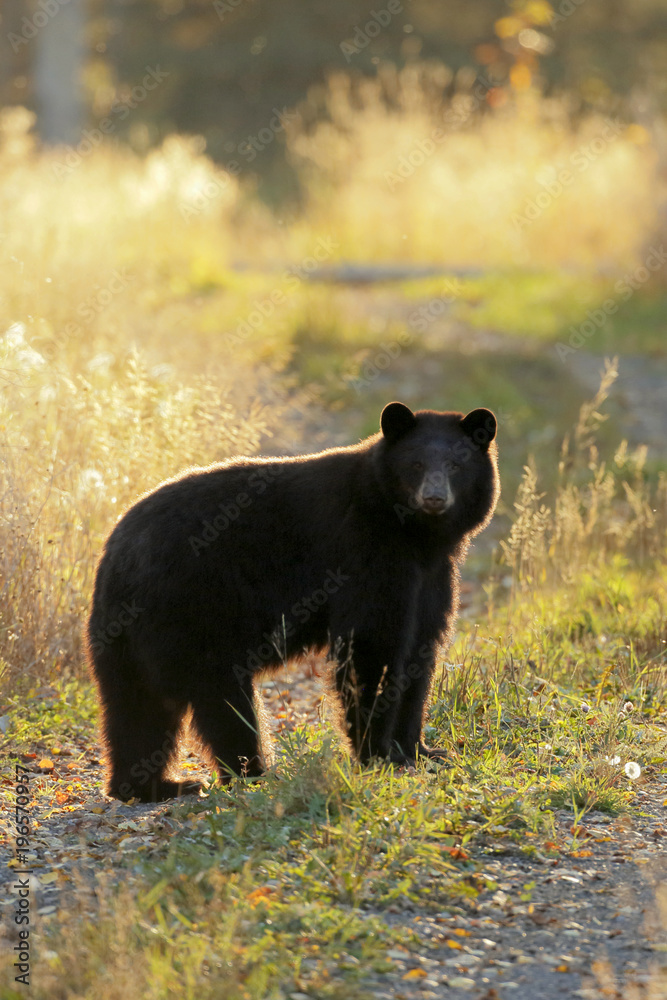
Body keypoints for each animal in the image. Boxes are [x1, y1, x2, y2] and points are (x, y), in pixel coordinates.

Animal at [86, 401, 499, 801]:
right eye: (415, 465)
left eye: (456, 465)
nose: (434, 498)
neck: (416, 536)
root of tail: (115, 555)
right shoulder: (364, 554)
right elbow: (371, 647)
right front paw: (379, 754)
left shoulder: (432, 576)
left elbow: (421, 648)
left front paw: (421, 751)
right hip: (196, 611)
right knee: (222, 698)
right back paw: (251, 773)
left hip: (127, 637)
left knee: (137, 707)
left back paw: (150, 786)